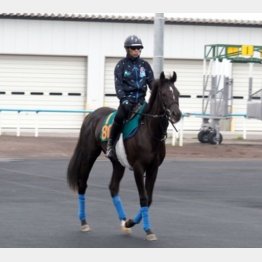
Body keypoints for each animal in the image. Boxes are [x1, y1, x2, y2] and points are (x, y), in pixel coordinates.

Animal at [66, 70, 181, 241]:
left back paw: (123, 222)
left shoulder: (153, 168)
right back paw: (84, 222)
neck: (148, 131)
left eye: (178, 93)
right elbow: (143, 198)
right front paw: (148, 230)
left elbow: (149, 199)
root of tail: (91, 115)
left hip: (118, 163)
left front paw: (129, 223)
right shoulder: (139, 168)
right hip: (89, 155)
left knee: (113, 187)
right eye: (164, 93)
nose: (177, 114)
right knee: (82, 184)